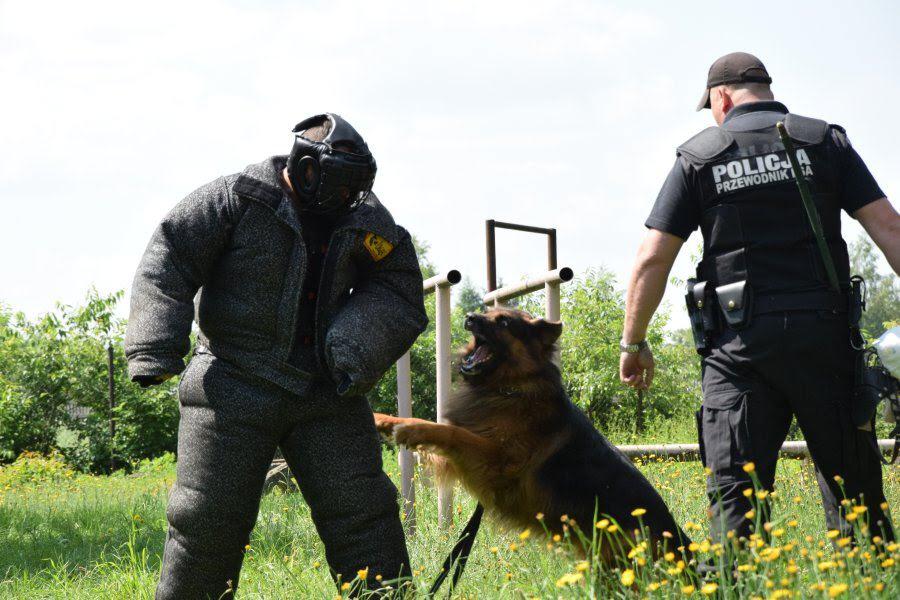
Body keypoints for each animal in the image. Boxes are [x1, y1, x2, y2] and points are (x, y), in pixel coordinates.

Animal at [372, 310, 688, 556]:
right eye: (486, 311)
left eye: (504, 322)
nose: (470, 316)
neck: (508, 389)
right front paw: (380, 419)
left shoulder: (495, 465)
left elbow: (451, 433)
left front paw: (411, 430)